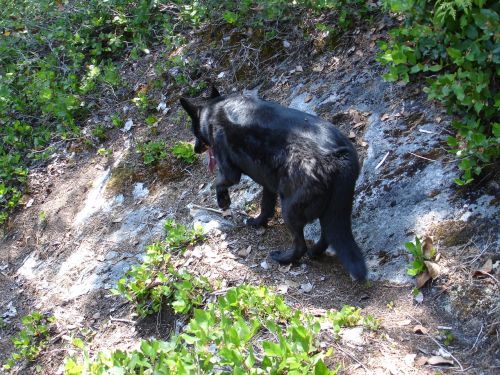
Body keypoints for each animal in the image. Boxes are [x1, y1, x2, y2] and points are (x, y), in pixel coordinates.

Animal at [181, 86, 368, 280]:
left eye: (194, 131)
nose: (195, 149)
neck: (214, 110)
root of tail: (338, 158)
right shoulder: (268, 184)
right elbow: (266, 206)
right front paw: (258, 222)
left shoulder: (229, 172)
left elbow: (219, 183)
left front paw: (223, 201)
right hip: (330, 209)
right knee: (327, 234)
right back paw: (315, 252)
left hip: (290, 209)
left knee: (301, 245)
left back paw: (284, 259)